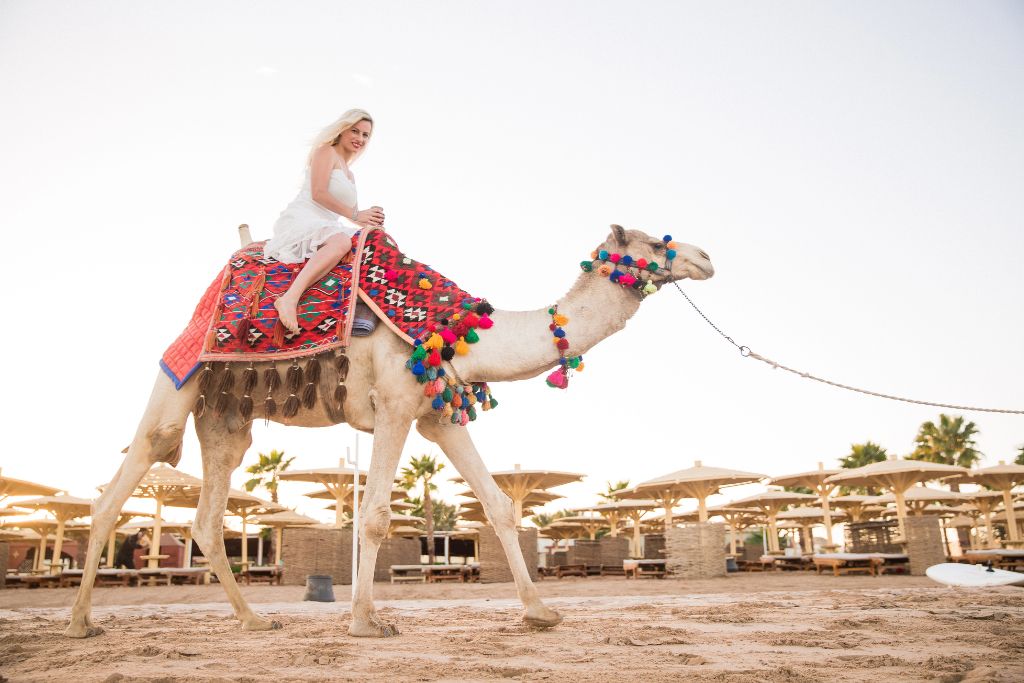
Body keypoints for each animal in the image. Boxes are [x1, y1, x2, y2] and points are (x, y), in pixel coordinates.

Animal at [65, 224, 713, 639]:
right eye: (655, 240)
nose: (705, 257)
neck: (457, 332)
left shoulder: (437, 415)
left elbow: (499, 505)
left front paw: (540, 614)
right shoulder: (396, 406)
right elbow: (374, 513)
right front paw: (365, 622)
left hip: (226, 419)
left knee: (205, 517)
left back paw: (254, 620)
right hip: (179, 381)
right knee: (120, 484)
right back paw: (79, 623)